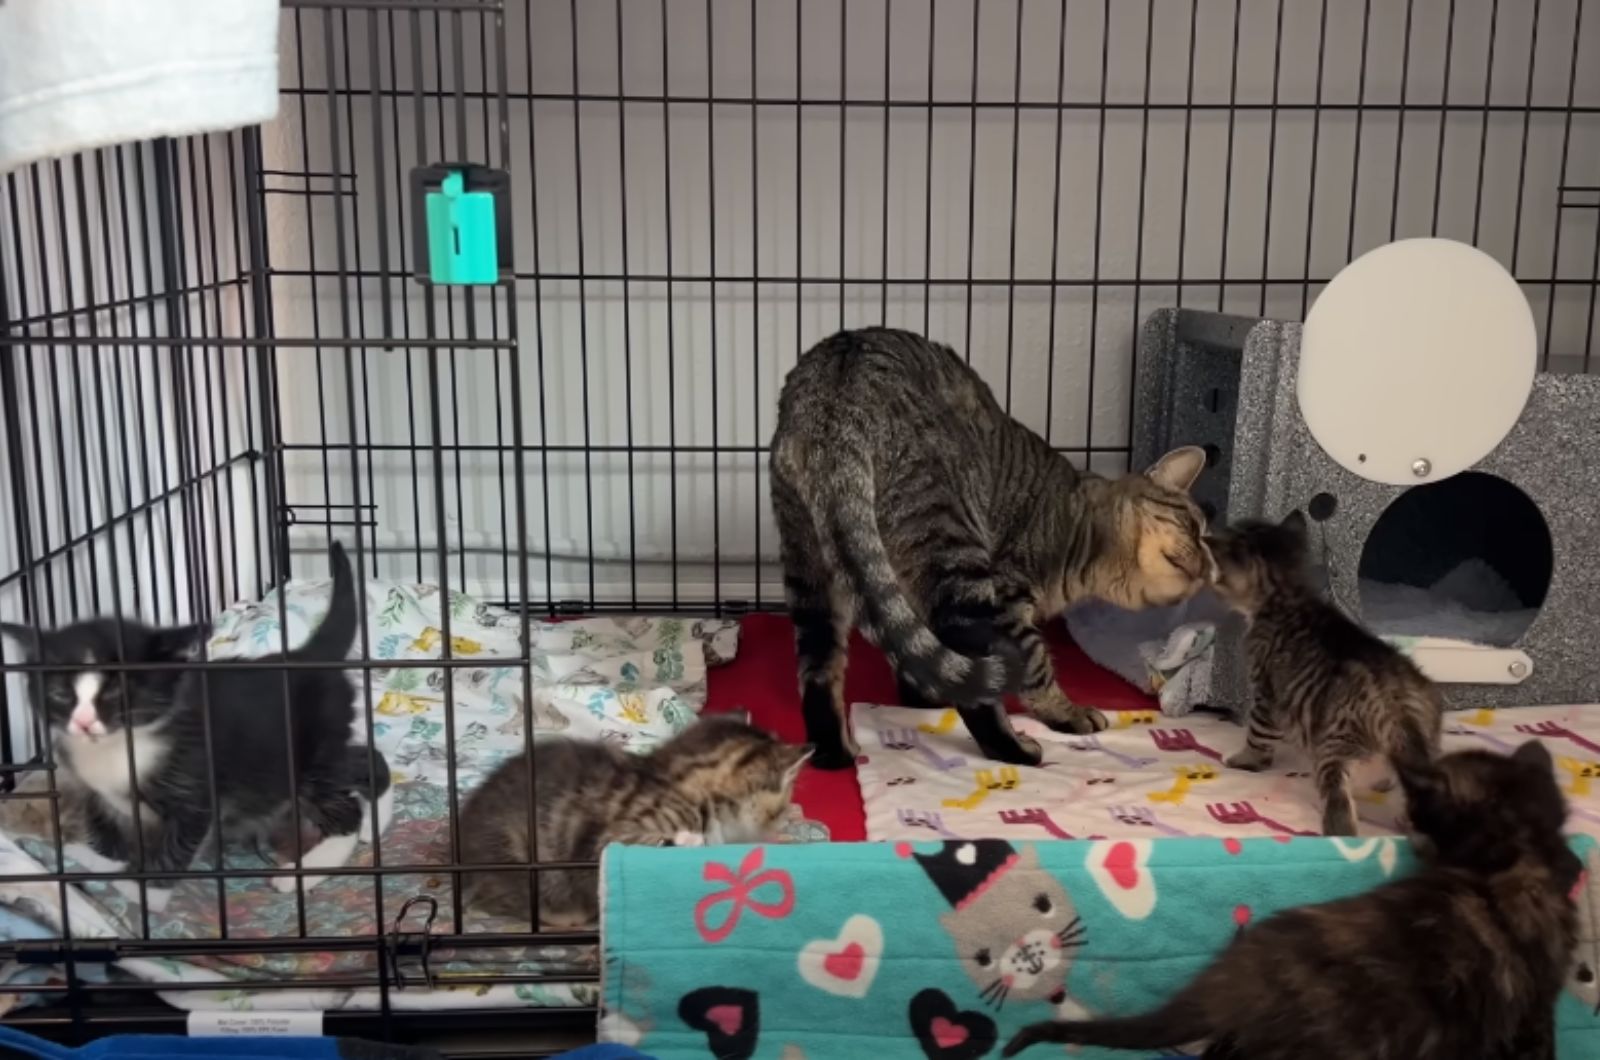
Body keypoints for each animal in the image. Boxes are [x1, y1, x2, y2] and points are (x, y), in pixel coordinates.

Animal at [768, 326, 1203, 771]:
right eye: (1194, 526)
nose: (1209, 567)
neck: (1081, 527)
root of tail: (839, 376)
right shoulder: (1009, 595)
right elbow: (1034, 663)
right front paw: (1066, 712)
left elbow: (915, 655)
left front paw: (921, 694)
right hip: (955, 551)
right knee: (978, 689)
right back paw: (1014, 750)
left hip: (811, 566)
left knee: (818, 669)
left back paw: (833, 751)